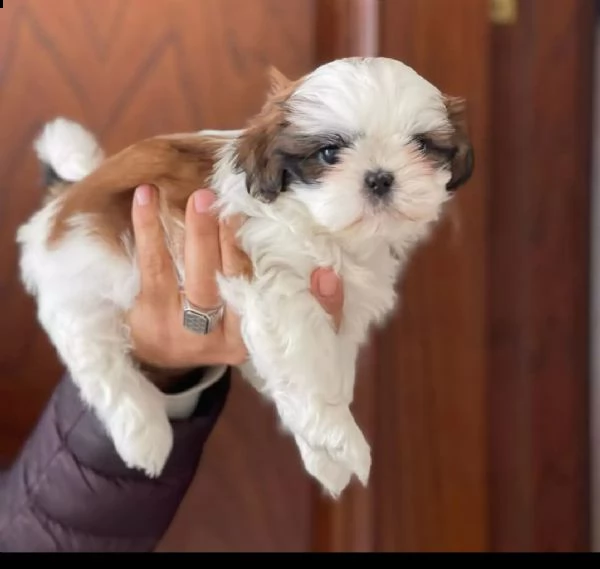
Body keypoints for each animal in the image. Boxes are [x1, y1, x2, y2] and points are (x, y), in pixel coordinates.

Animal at [16, 55, 474, 494]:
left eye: (422, 146)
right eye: (329, 154)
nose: (380, 178)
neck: (323, 228)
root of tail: (64, 201)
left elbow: (324, 368)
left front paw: (324, 455)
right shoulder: (276, 285)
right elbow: (309, 366)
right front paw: (340, 437)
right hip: (88, 275)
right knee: (90, 348)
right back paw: (143, 432)